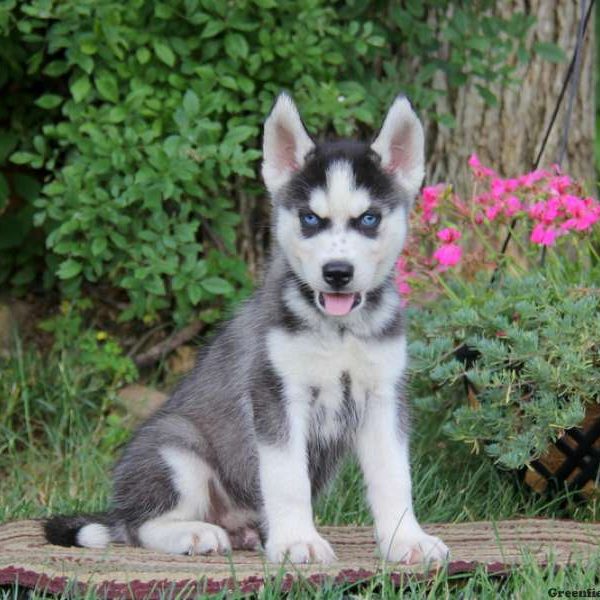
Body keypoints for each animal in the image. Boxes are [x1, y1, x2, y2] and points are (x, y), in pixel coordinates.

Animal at [47, 94, 448, 564]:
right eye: (310, 219)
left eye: (369, 219)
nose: (337, 273)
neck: (339, 331)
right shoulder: (275, 395)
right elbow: (288, 480)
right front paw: (297, 541)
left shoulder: (384, 397)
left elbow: (393, 477)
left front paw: (406, 540)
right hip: (175, 447)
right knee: (139, 526)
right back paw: (195, 534)